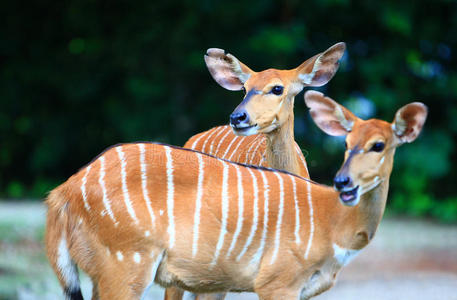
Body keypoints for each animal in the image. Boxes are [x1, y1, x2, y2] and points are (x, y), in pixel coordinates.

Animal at [44, 91, 426, 300]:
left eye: (379, 144)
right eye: (346, 143)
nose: (344, 182)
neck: (329, 222)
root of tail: (63, 191)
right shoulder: (277, 282)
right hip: (127, 264)